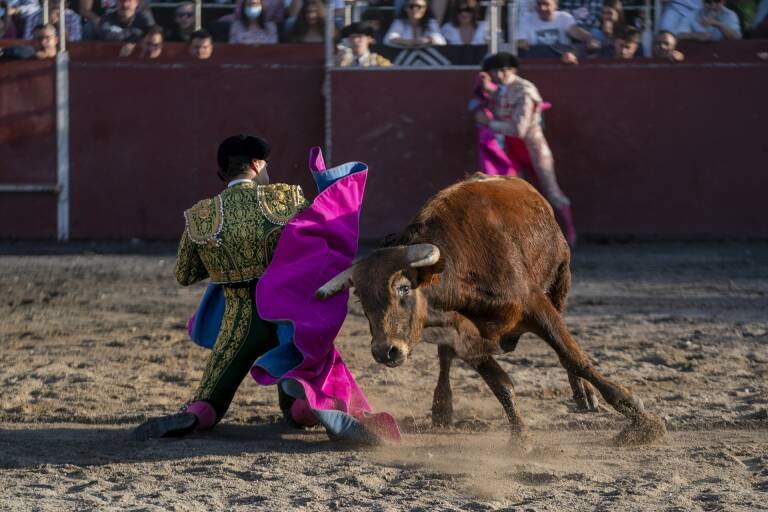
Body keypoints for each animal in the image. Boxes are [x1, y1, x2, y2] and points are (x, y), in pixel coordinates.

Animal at [318, 173, 664, 444]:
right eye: (361, 300)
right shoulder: (465, 336)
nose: (385, 351)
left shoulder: (536, 305)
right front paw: (520, 436)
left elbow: (575, 358)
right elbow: (501, 384)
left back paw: (584, 396)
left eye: (403, 288)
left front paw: (642, 421)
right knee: (445, 359)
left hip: (560, 282)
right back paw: (442, 407)